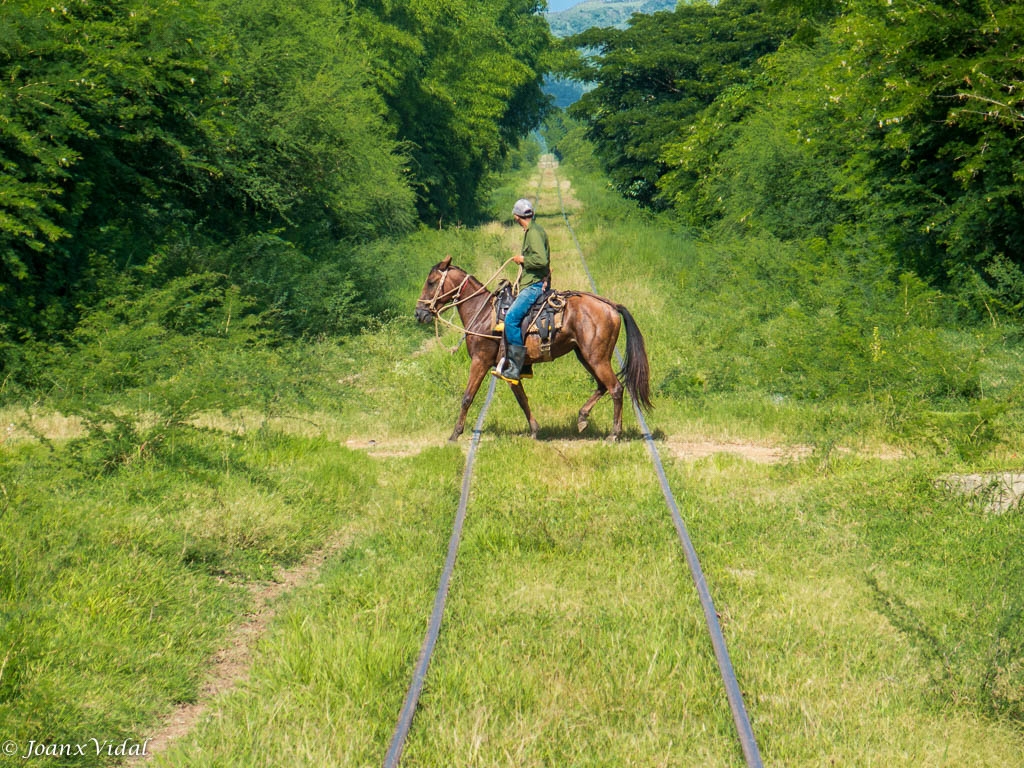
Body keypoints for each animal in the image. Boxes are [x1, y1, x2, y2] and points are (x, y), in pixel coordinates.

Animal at [413, 257, 647, 442]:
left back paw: (614, 434)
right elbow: (522, 398)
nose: (419, 313)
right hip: (585, 356)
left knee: (615, 388)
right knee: (602, 386)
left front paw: (455, 434)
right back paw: (582, 418)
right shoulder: (509, 367)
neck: (482, 314)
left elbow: (467, 397)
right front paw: (535, 430)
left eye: (431, 282)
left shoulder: (480, 361)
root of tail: (611, 306)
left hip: (596, 358)